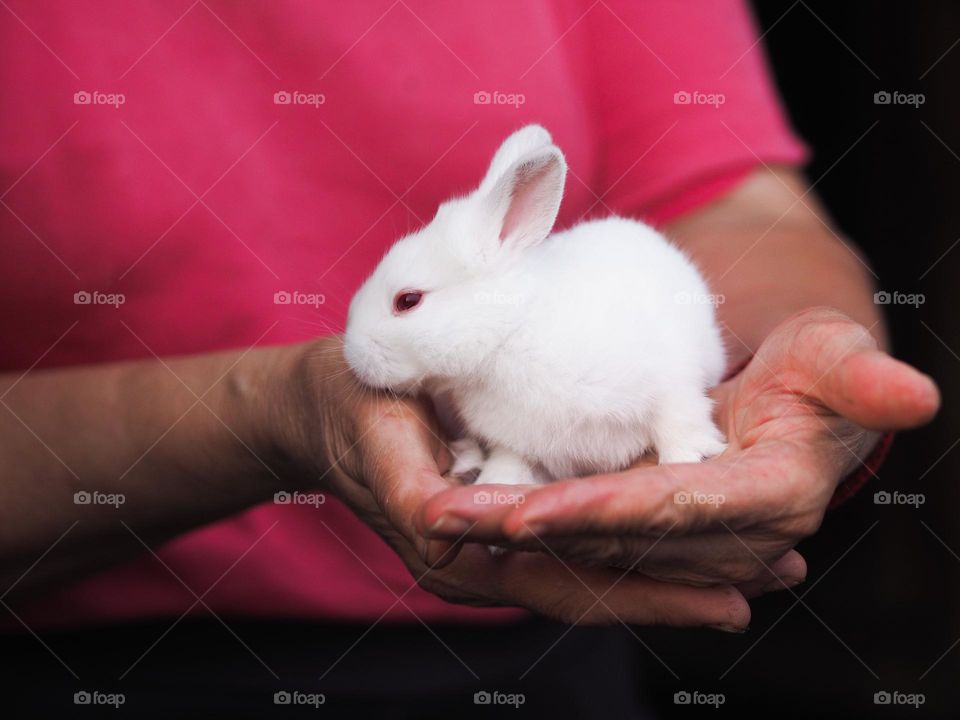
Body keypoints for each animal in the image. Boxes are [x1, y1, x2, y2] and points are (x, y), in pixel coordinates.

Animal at [344, 125, 728, 490]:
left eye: (407, 301)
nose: (352, 355)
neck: (511, 331)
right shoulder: (515, 443)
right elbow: (510, 462)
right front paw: (493, 481)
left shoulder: (672, 383)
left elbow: (678, 421)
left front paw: (687, 458)